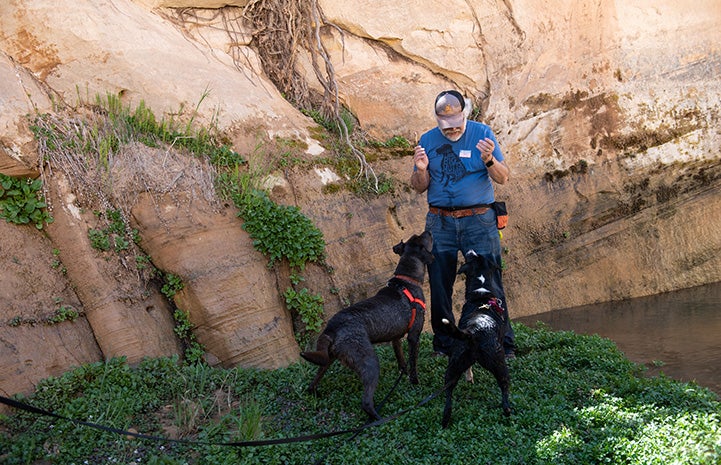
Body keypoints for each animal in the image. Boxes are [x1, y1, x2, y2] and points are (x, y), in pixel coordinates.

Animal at [300, 230, 434, 418]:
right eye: (422, 238)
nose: (428, 230)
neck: (407, 280)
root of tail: (331, 329)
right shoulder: (414, 336)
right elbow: (413, 362)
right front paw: (414, 382)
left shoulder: (396, 339)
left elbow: (402, 361)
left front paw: (403, 373)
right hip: (369, 362)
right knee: (366, 402)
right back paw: (379, 418)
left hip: (327, 358)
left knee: (314, 380)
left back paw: (314, 392)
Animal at [442, 248, 510, 426]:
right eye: (473, 256)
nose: (471, 250)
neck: (481, 294)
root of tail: (474, 331)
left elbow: (469, 368)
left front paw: (469, 378)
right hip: (499, 363)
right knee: (505, 389)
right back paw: (508, 413)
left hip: (453, 366)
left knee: (448, 397)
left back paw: (445, 421)